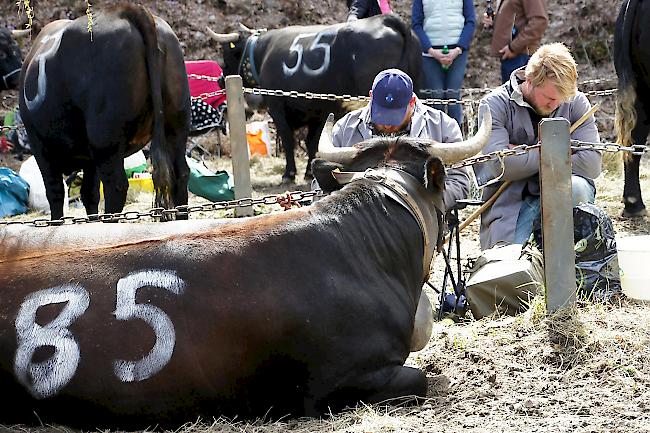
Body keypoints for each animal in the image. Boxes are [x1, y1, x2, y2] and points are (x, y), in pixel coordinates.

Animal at [18, 3, 190, 219]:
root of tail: (127, 9)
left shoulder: (40, 145)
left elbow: (55, 193)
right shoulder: (88, 157)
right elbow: (89, 194)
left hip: (105, 139)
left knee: (115, 187)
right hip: (176, 126)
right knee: (180, 175)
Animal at [206, 13, 420, 182]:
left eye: (227, 54)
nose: (219, 80)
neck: (262, 53)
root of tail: (386, 19)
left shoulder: (277, 106)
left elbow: (288, 138)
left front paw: (289, 173)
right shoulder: (318, 111)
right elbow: (312, 141)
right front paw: (309, 171)